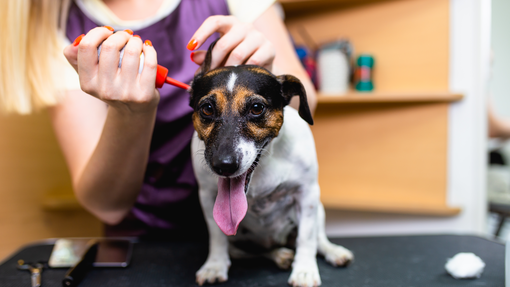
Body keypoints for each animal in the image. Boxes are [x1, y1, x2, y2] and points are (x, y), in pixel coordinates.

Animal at [189, 41, 352, 287]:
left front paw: (304, 270)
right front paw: (214, 265)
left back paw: (332, 251)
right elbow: (217, 236)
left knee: (318, 238)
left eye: (256, 108)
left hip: (319, 209)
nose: (224, 165)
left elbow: (306, 238)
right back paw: (279, 255)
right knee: (253, 252)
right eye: (207, 108)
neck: (263, 165)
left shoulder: (307, 194)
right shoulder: (208, 199)